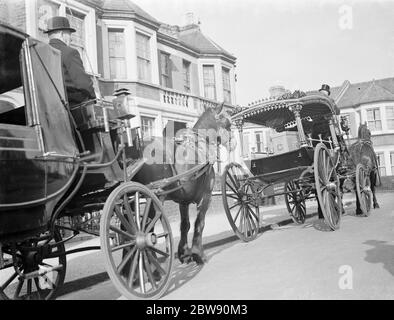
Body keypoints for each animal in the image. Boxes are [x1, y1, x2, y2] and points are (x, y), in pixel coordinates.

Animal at [134, 104, 231, 264]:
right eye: (227, 123)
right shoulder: (206, 196)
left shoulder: (183, 201)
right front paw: (198, 253)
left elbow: (185, 225)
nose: (233, 143)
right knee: (146, 228)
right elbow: (199, 223)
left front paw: (184, 252)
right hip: (154, 197)